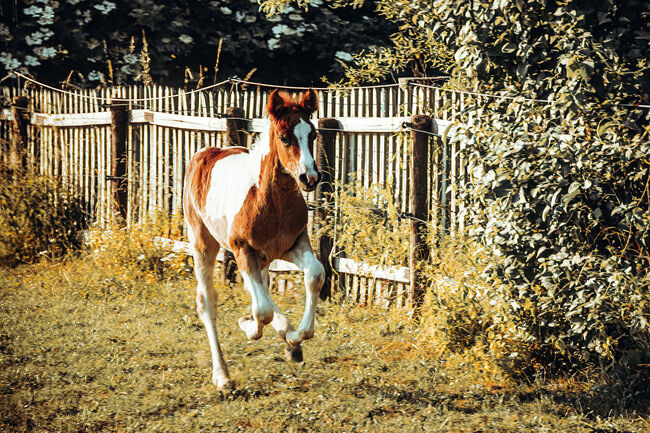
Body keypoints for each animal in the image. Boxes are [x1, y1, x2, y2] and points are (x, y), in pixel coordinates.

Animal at [181, 89, 324, 390]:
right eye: (284, 137)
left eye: (313, 134)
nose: (310, 177)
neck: (269, 199)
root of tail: (205, 152)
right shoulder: (243, 250)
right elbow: (261, 311)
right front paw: (248, 326)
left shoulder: (294, 244)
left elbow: (315, 275)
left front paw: (294, 337)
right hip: (203, 243)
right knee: (208, 302)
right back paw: (222, 376)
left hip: (264, 257)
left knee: (262, 286)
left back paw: (288, 339)